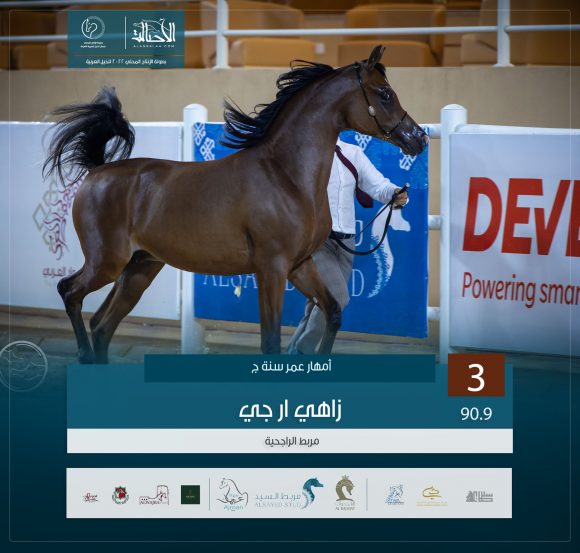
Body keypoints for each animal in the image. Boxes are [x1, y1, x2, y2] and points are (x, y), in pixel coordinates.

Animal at [43, 45, 427, 364]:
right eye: (384, 93)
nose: (419, 138)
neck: (285, 175)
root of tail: (98, 171)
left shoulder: (300, 265)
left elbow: (333, 312)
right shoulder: (271, 269)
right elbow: (270, 341)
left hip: (139, 268)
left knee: (101, 325)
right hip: (106, 262)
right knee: (69, 293)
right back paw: (81, 354)